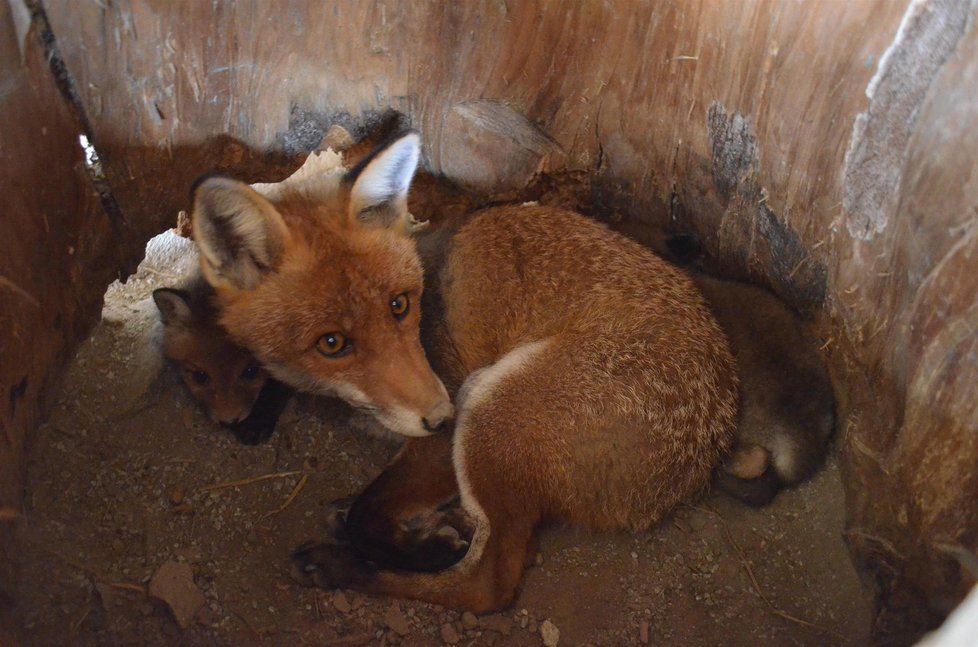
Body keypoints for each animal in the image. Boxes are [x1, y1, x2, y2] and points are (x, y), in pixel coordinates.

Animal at [191, 133, 736, 612]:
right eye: (332, 343)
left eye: (399, 305)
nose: (441, 413)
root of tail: (696, 467)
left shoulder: (440, 426)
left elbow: (370, 515)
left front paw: (418, 548)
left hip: (490, 406)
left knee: (487, 587)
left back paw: (347, 564)